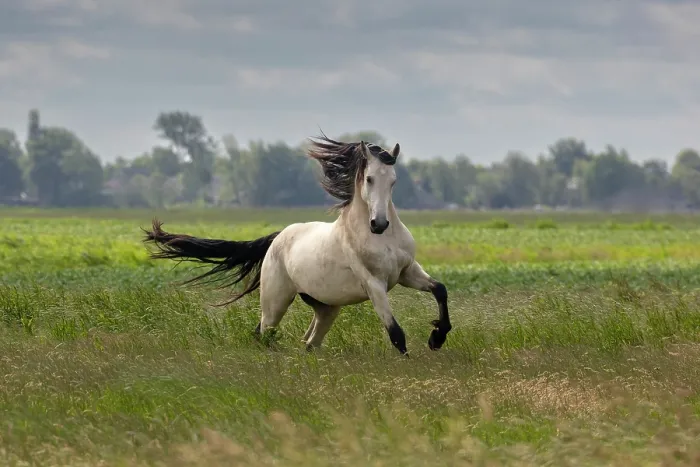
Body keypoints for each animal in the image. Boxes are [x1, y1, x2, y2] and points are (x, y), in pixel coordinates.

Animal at [142, 134, 452, 355]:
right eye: (369, 178)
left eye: (394, 181)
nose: (379, 224)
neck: (380, 239)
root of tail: (278, 237)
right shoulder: (374, 284)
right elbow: (396, 333)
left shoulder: (406, 272)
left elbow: (440, 290)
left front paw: (437, 337)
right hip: (275, 301)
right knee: (264, 332)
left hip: (326, 307)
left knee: (309, 341)